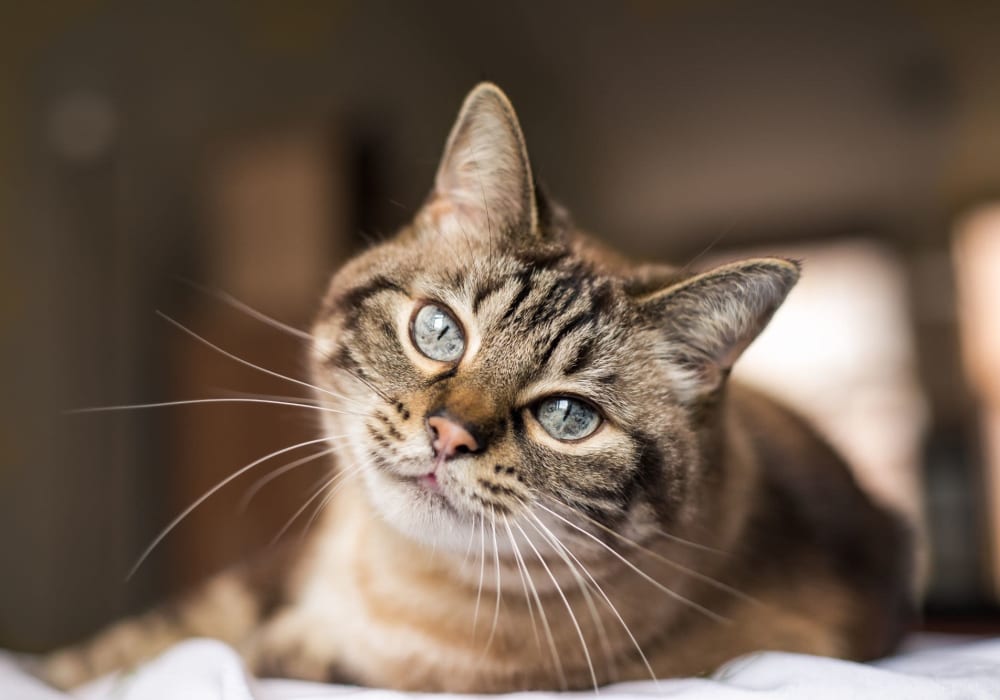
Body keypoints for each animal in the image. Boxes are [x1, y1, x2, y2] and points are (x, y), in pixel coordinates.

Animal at [41, 83, 916, 696]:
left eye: (567, 416)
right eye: (439, 332)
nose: (449, 436)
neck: (388, 577)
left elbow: (254, 657)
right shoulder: (268, 574)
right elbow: (131, 646)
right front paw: (63, 672)